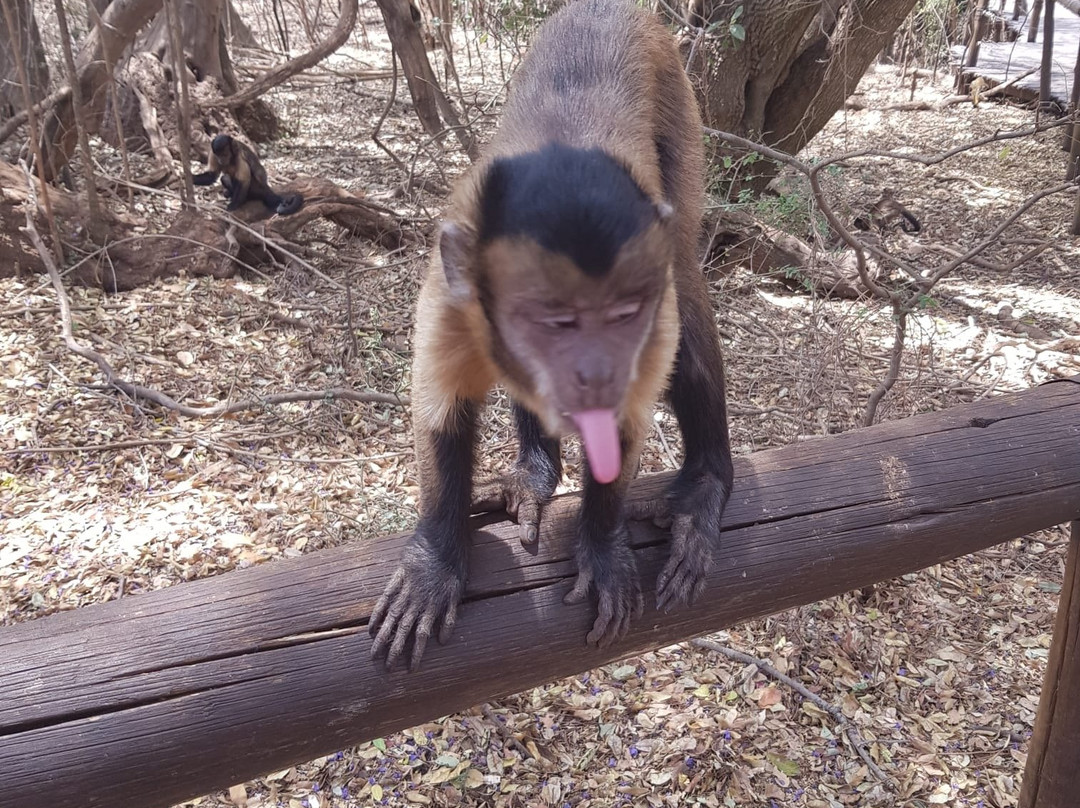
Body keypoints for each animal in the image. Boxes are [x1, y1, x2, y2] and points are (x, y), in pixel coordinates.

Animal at [369, 0, 734, 670]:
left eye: (622, 314)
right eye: (552, 320)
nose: (592, 364)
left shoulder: (651, 303)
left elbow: (625, 417)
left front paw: (602, 546)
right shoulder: (452, 289)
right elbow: (440, 409)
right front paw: (436, 559)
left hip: (679, 112)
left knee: (687, 273)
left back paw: (706, 483)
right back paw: (535, 475)